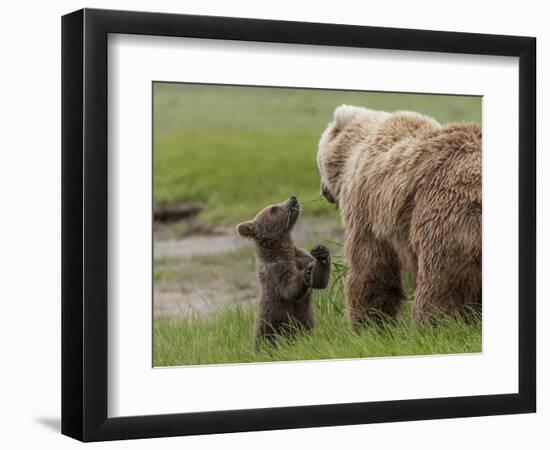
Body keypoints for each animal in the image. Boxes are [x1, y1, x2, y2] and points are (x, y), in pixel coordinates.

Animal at [320, 105, 484, 326]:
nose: (324, 191)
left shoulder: (365, 205)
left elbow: (370, 265)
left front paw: (369, 322)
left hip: (445, 212)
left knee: (441, 281)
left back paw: (433, 322)